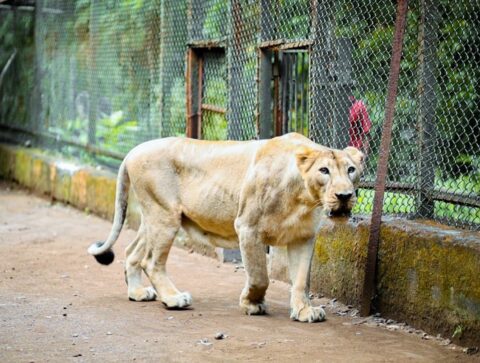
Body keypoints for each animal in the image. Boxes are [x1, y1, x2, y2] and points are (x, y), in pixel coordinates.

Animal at [87, 132, 364, 322]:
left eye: (351, 170)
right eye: (324, 170)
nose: (344, 195)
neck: (302, 198)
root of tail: (133, 150)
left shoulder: (303, 237)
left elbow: (299, 280)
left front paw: (304, 311)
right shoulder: (248, 227)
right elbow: (259, 275)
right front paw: (252, 304)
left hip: (155, 217)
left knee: (132, 252)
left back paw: (137, 292)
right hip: (164, 215)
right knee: (151, 261)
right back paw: (174, 299)